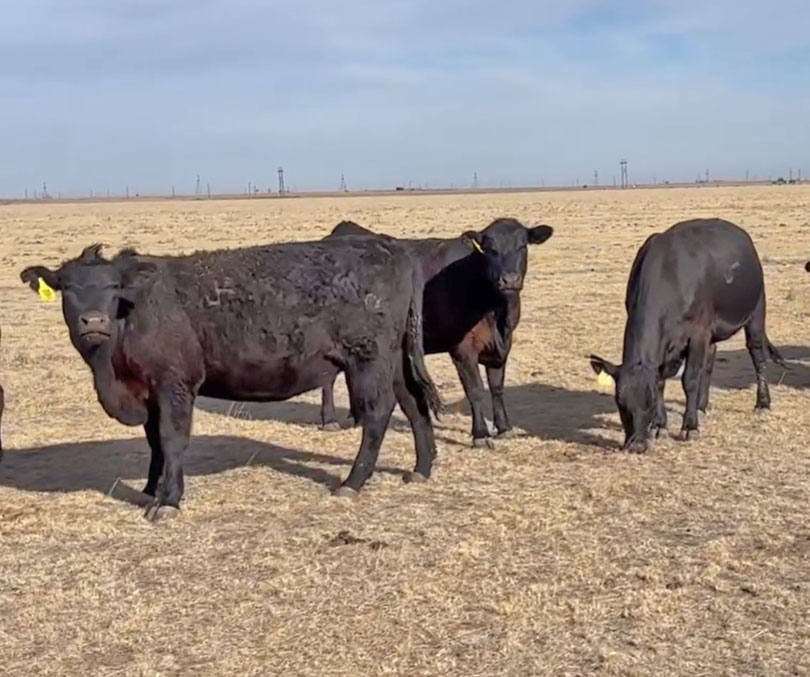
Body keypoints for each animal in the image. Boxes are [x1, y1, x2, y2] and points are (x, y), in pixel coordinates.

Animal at [20, 239, 442, 521]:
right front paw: (150, 489)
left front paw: (168, 500)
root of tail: (389, 247)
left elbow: (172, 440)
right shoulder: (148, 390)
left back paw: (352, 482)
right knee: (413, 404)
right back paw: (421, 469)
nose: (94, 321)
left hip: (367, 358)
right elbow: (154, 442)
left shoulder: (174, 384)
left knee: (377, 413)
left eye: (112, 287)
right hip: (395, 359)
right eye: (67, 287)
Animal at [319, 217, 554, 447]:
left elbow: (497, 387)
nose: (509, 280)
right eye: (490, 250)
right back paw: (329, 419)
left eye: (522, 246)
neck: (496, 311)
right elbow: (476, 390)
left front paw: (504, 428)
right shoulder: (463, 348)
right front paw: (480, 434)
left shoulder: (501, 347)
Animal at [589, 218, 784, 453]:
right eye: (620, 402)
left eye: (649, 402)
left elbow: (689, 379)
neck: (669, 275)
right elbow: (663, 382)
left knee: (757, 355)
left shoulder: (698, 333)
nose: (635, 445)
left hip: (756, 310)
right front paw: (659, 426)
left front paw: (690, 427)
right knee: (709, 361)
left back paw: (762, 403)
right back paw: (701, 407)